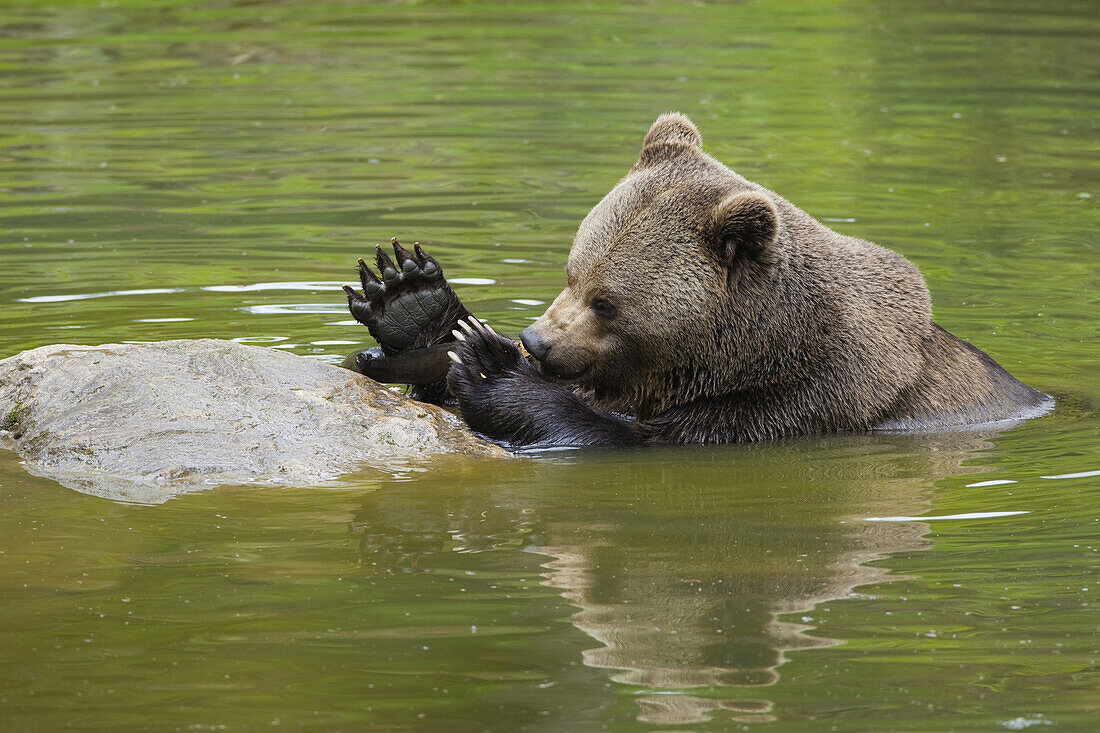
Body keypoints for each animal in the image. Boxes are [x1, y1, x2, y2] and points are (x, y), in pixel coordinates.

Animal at [343, 114, 1047, 444]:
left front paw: (492, 368)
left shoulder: (794, 408)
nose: (537, 342)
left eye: (607, 302)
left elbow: (619, 439)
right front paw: (411, 301)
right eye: (572, 272)